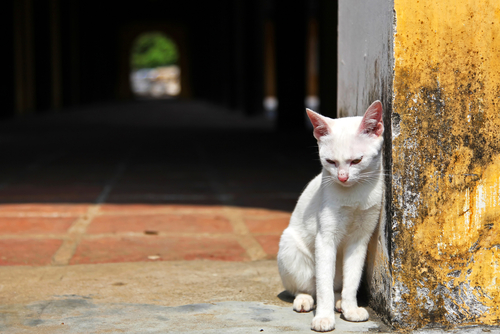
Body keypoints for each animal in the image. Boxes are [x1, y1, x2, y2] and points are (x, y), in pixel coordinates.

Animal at [278, 101, 382, 332]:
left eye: (357, 160)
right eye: (331, 162)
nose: (342, 177)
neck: (353, 195)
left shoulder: (360, 238)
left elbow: (352, 277)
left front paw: (351, 308)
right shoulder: (325, 238)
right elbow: (323, 285)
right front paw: (324, 317)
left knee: (337, 286)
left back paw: (341, 302)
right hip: (289, 247)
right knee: (309, 286)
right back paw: (305, 300)